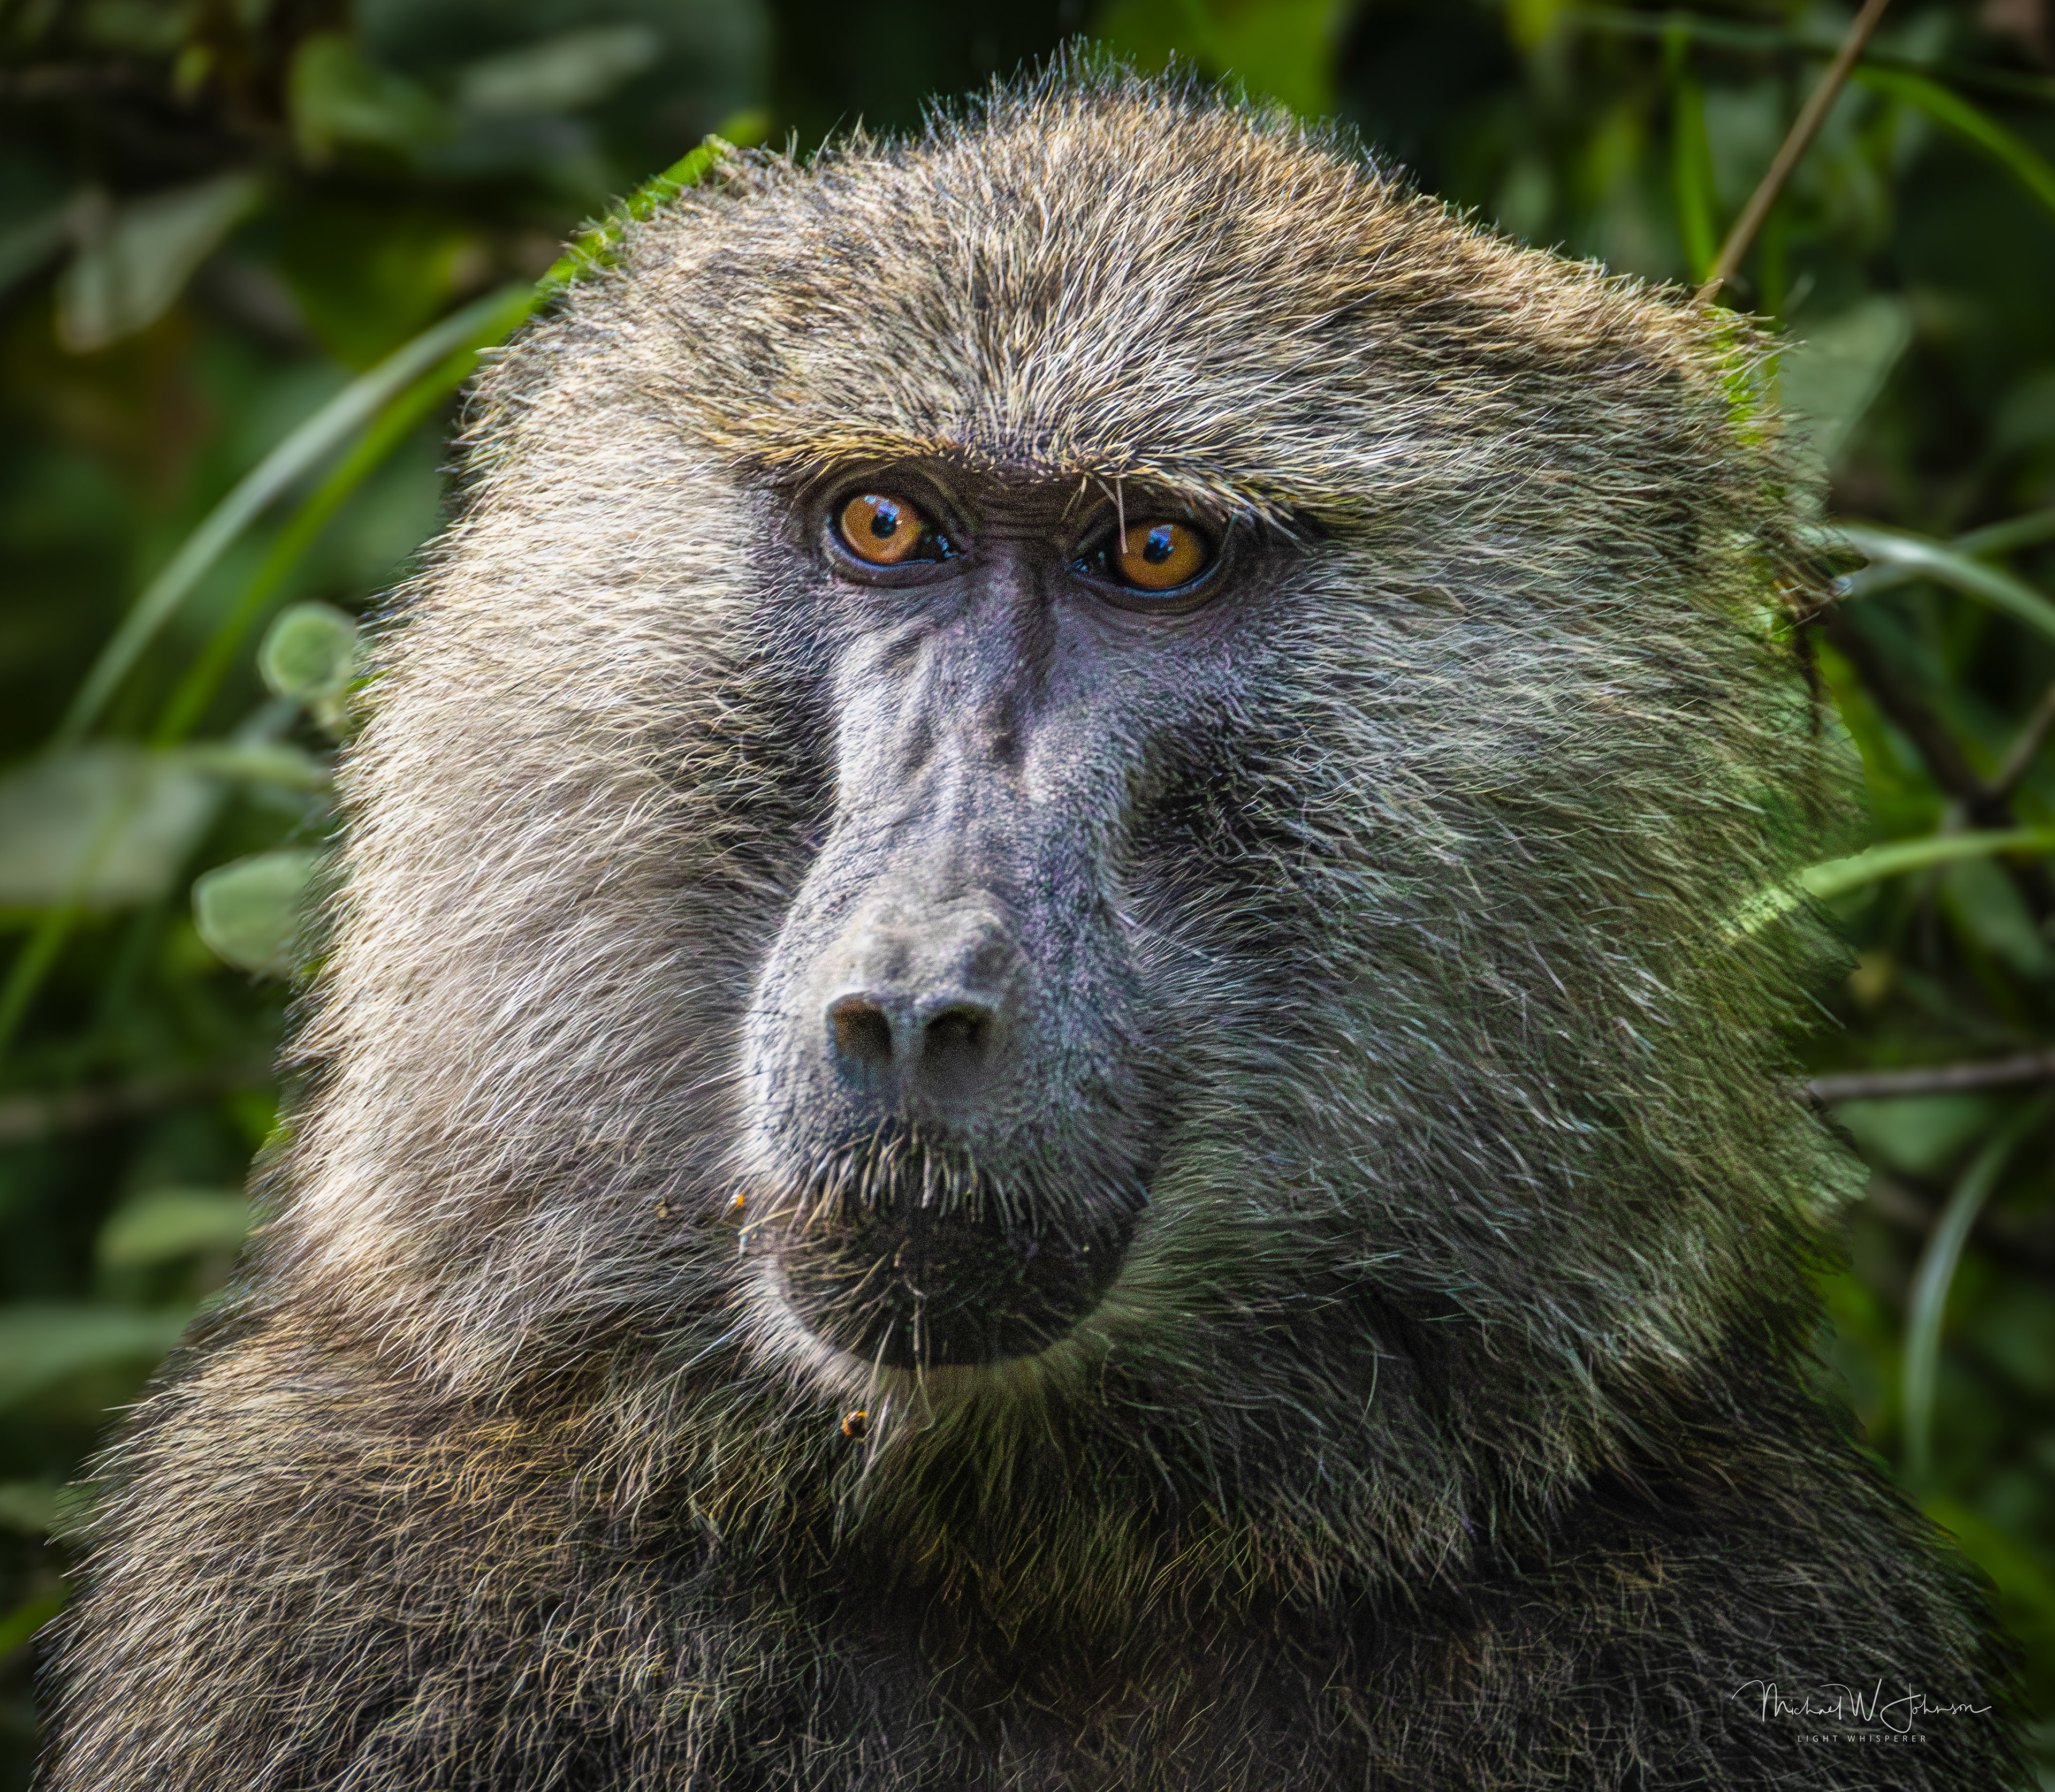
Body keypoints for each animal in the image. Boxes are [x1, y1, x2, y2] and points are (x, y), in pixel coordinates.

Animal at [39, 69, 2023, 1791]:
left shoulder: (1723, 1605)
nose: (914, 1005)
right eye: (884, 522)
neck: (1034, 1547)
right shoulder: (320, 1571)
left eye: (1152, 554)